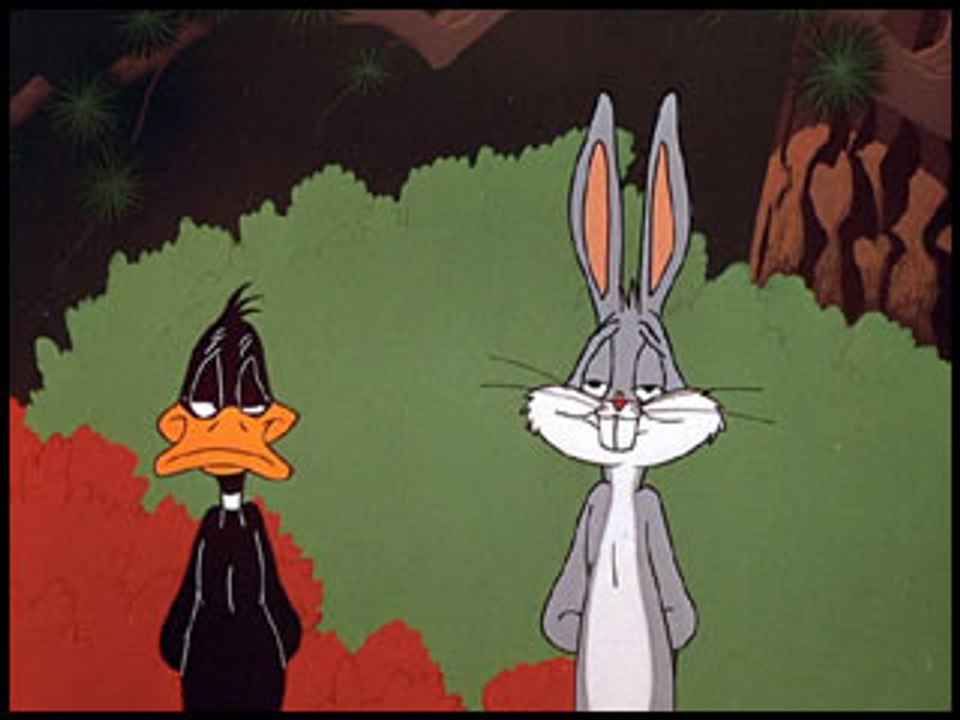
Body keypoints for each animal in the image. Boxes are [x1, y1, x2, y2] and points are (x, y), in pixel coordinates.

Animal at [525, 91, 725, 711]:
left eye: (648, 387)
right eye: (593, 381)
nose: (616, 403)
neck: (619, 493)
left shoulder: (650, 511)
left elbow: (681, 618)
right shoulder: (592, 510)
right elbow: (559, 617)